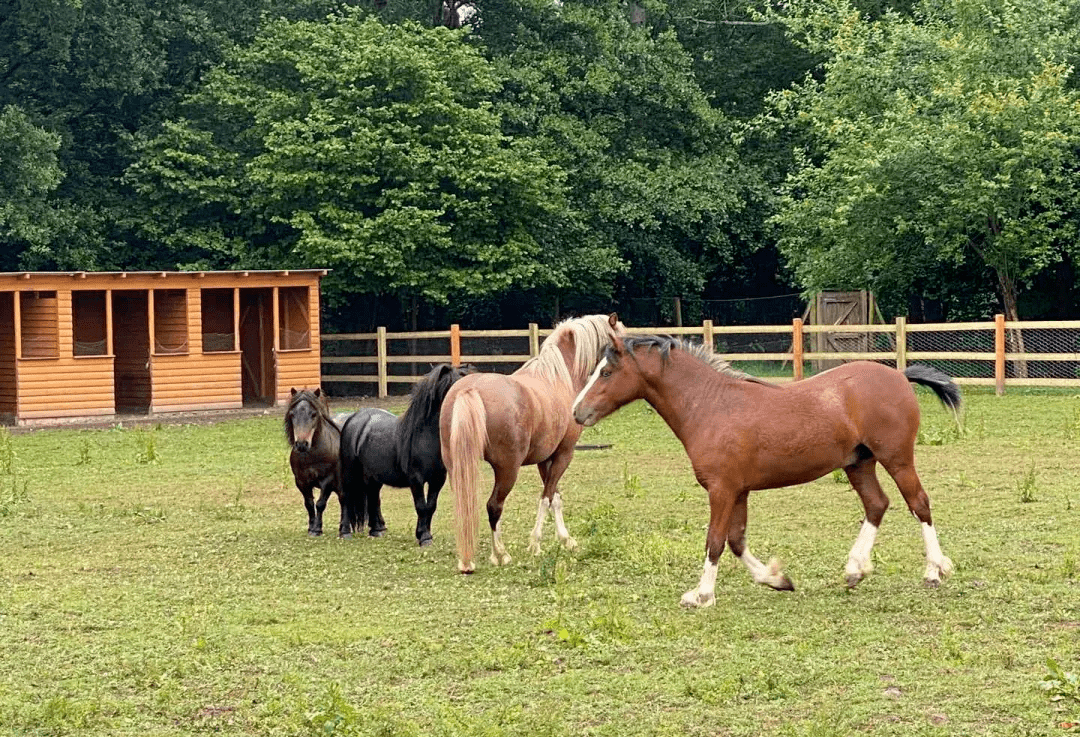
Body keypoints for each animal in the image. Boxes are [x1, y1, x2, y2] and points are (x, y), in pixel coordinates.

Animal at [282, 386, 354, 536]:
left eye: (314, 414)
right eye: (292, 414)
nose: (301, 444)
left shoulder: (327, 481)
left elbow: (320, 504)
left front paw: (317, 529)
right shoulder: (301, 481)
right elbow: (309, 504)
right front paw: (311, 527)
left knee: (345, 499)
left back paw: (345, 530)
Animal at [336, 363, 473, 542]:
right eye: (452, 388)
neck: (426, 436)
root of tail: (354, 418)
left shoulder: (437, 479)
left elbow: (430, 506)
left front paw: (424, 533)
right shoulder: (416, 479)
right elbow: (421, 506)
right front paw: (424, 537)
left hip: (373, 476)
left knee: (373, 497)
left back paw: (377, 530)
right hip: (350, 471)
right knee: (346, 496)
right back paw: (345, 532)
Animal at [438, 309, 626, 566]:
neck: (562, 375)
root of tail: (470, 389)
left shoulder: (544, 458)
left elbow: (555, 497)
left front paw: (566, 540)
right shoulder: (564, 454)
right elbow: (546, 497)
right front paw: (536, 544)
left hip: (457, 467)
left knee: (464, 505)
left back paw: (467, 559)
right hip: (507, 470)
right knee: (494, 506)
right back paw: (500, 554)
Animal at [574, 335, 963, 609]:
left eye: (606, 371)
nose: (578, 412)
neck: (710, 405)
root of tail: (899, 374)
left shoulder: (722, 490)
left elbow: (715, 541)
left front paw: (701, 595)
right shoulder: (739, 491)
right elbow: (736, 540)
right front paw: (777, 579)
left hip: (897, 458)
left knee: (919, 503)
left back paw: (934, 571)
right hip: (858, 463)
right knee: (877, 504)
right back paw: (855, 570)